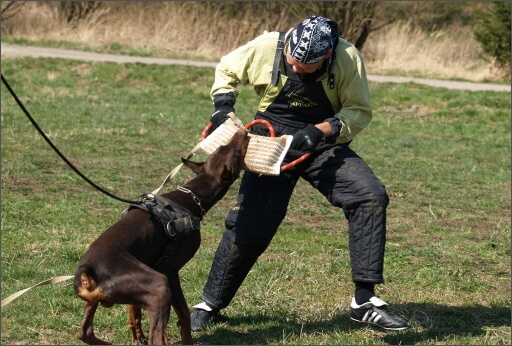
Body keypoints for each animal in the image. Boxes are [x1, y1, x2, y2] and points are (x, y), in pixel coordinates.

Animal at [74, 128, 250, 344]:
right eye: (235, 151)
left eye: (221, 147)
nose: (242, 131)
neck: (191, 196)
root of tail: (87, 272)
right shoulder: (169, 270)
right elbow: (183, 314)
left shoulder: (147, 264)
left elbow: (134, 310)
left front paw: (137, 335)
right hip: (159, 287)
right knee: (156, 338)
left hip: (98, 300)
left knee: (84, 332)